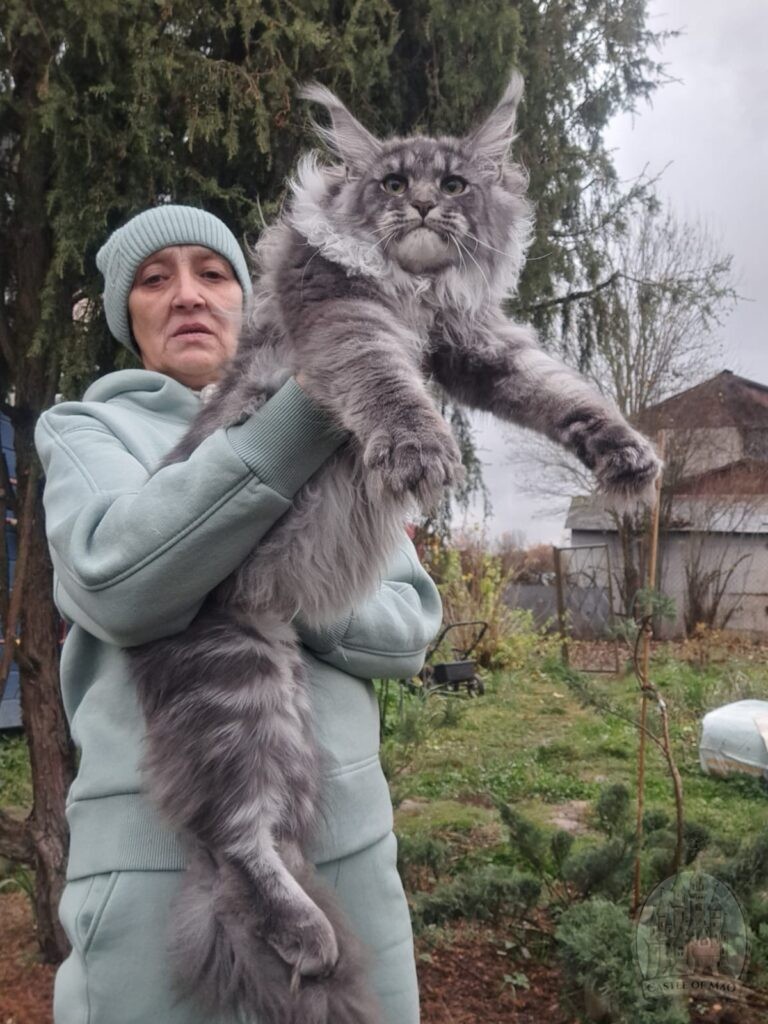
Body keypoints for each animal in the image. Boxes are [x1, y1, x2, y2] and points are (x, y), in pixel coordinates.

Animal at [129, 72, 660, 1024]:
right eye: (389, 181)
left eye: (452, 183)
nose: (417, 204)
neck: (418, 293)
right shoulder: (345, 316)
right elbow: (383, 381)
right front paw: (418, 452)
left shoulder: (480, 346)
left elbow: (566, 395)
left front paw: (628, 456)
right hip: (235, 683)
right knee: (239, 838)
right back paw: (309, 938)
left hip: (277, 711)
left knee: (255, 841)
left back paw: (308, 942)